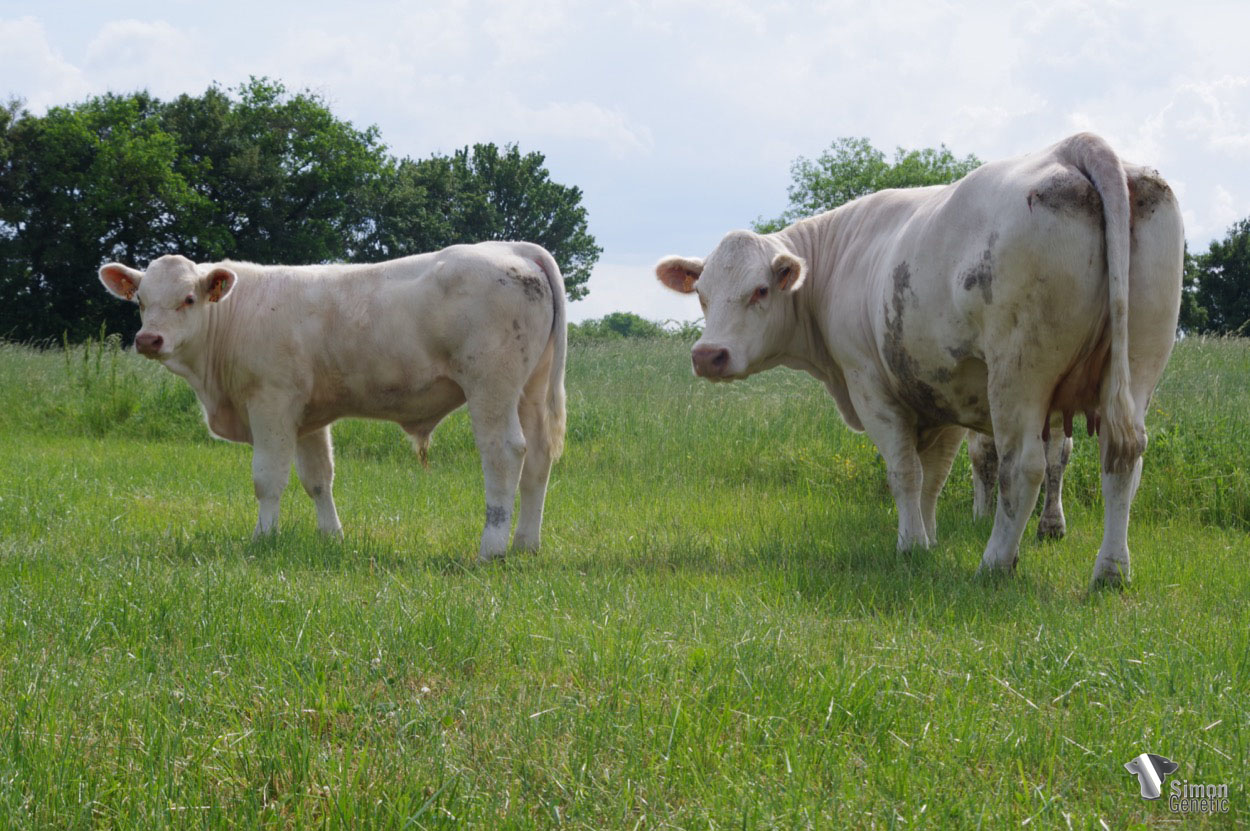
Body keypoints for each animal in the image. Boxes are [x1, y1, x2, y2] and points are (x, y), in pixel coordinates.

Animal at [99, 241, 566, 561]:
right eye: (140, 301)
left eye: (189, 299)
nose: (148, 339)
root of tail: (512, 247)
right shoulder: (309, 416)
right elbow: (318, 479)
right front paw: (331, 538)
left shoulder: (271, 402)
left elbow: (268, 479)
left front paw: (262, 539)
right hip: (530, 389)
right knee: (539, 458)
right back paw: (526, 544)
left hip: (491, 385)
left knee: (504, 454)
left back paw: (492, 548)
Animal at [657, 133, 1182, 587]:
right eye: (701, 295)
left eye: (761, 290)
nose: (708, 355)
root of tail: (1075, 146)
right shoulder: (945, 392)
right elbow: (932, 478)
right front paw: (928, 541)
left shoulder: (871, 386)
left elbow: (905, 472)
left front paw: (909, 545)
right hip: (1140, 362)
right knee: (1122, 458)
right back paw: (1111, 572)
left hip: (1019, 374)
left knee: (1023, 466)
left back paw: (995, 563)